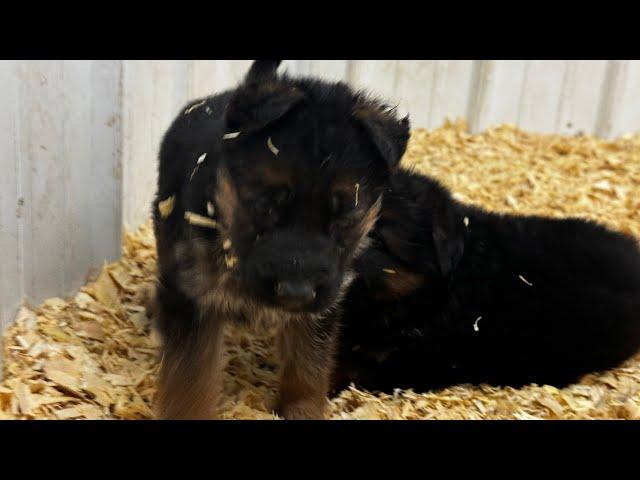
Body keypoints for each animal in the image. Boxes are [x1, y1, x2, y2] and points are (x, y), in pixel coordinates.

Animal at [151, 61, 410, 420]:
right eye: (265, 205)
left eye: (345, 216)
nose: (295, 293)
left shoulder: (322, 307)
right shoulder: (193, 297)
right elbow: (191, 378)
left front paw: (303, 410)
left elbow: (307, 365)